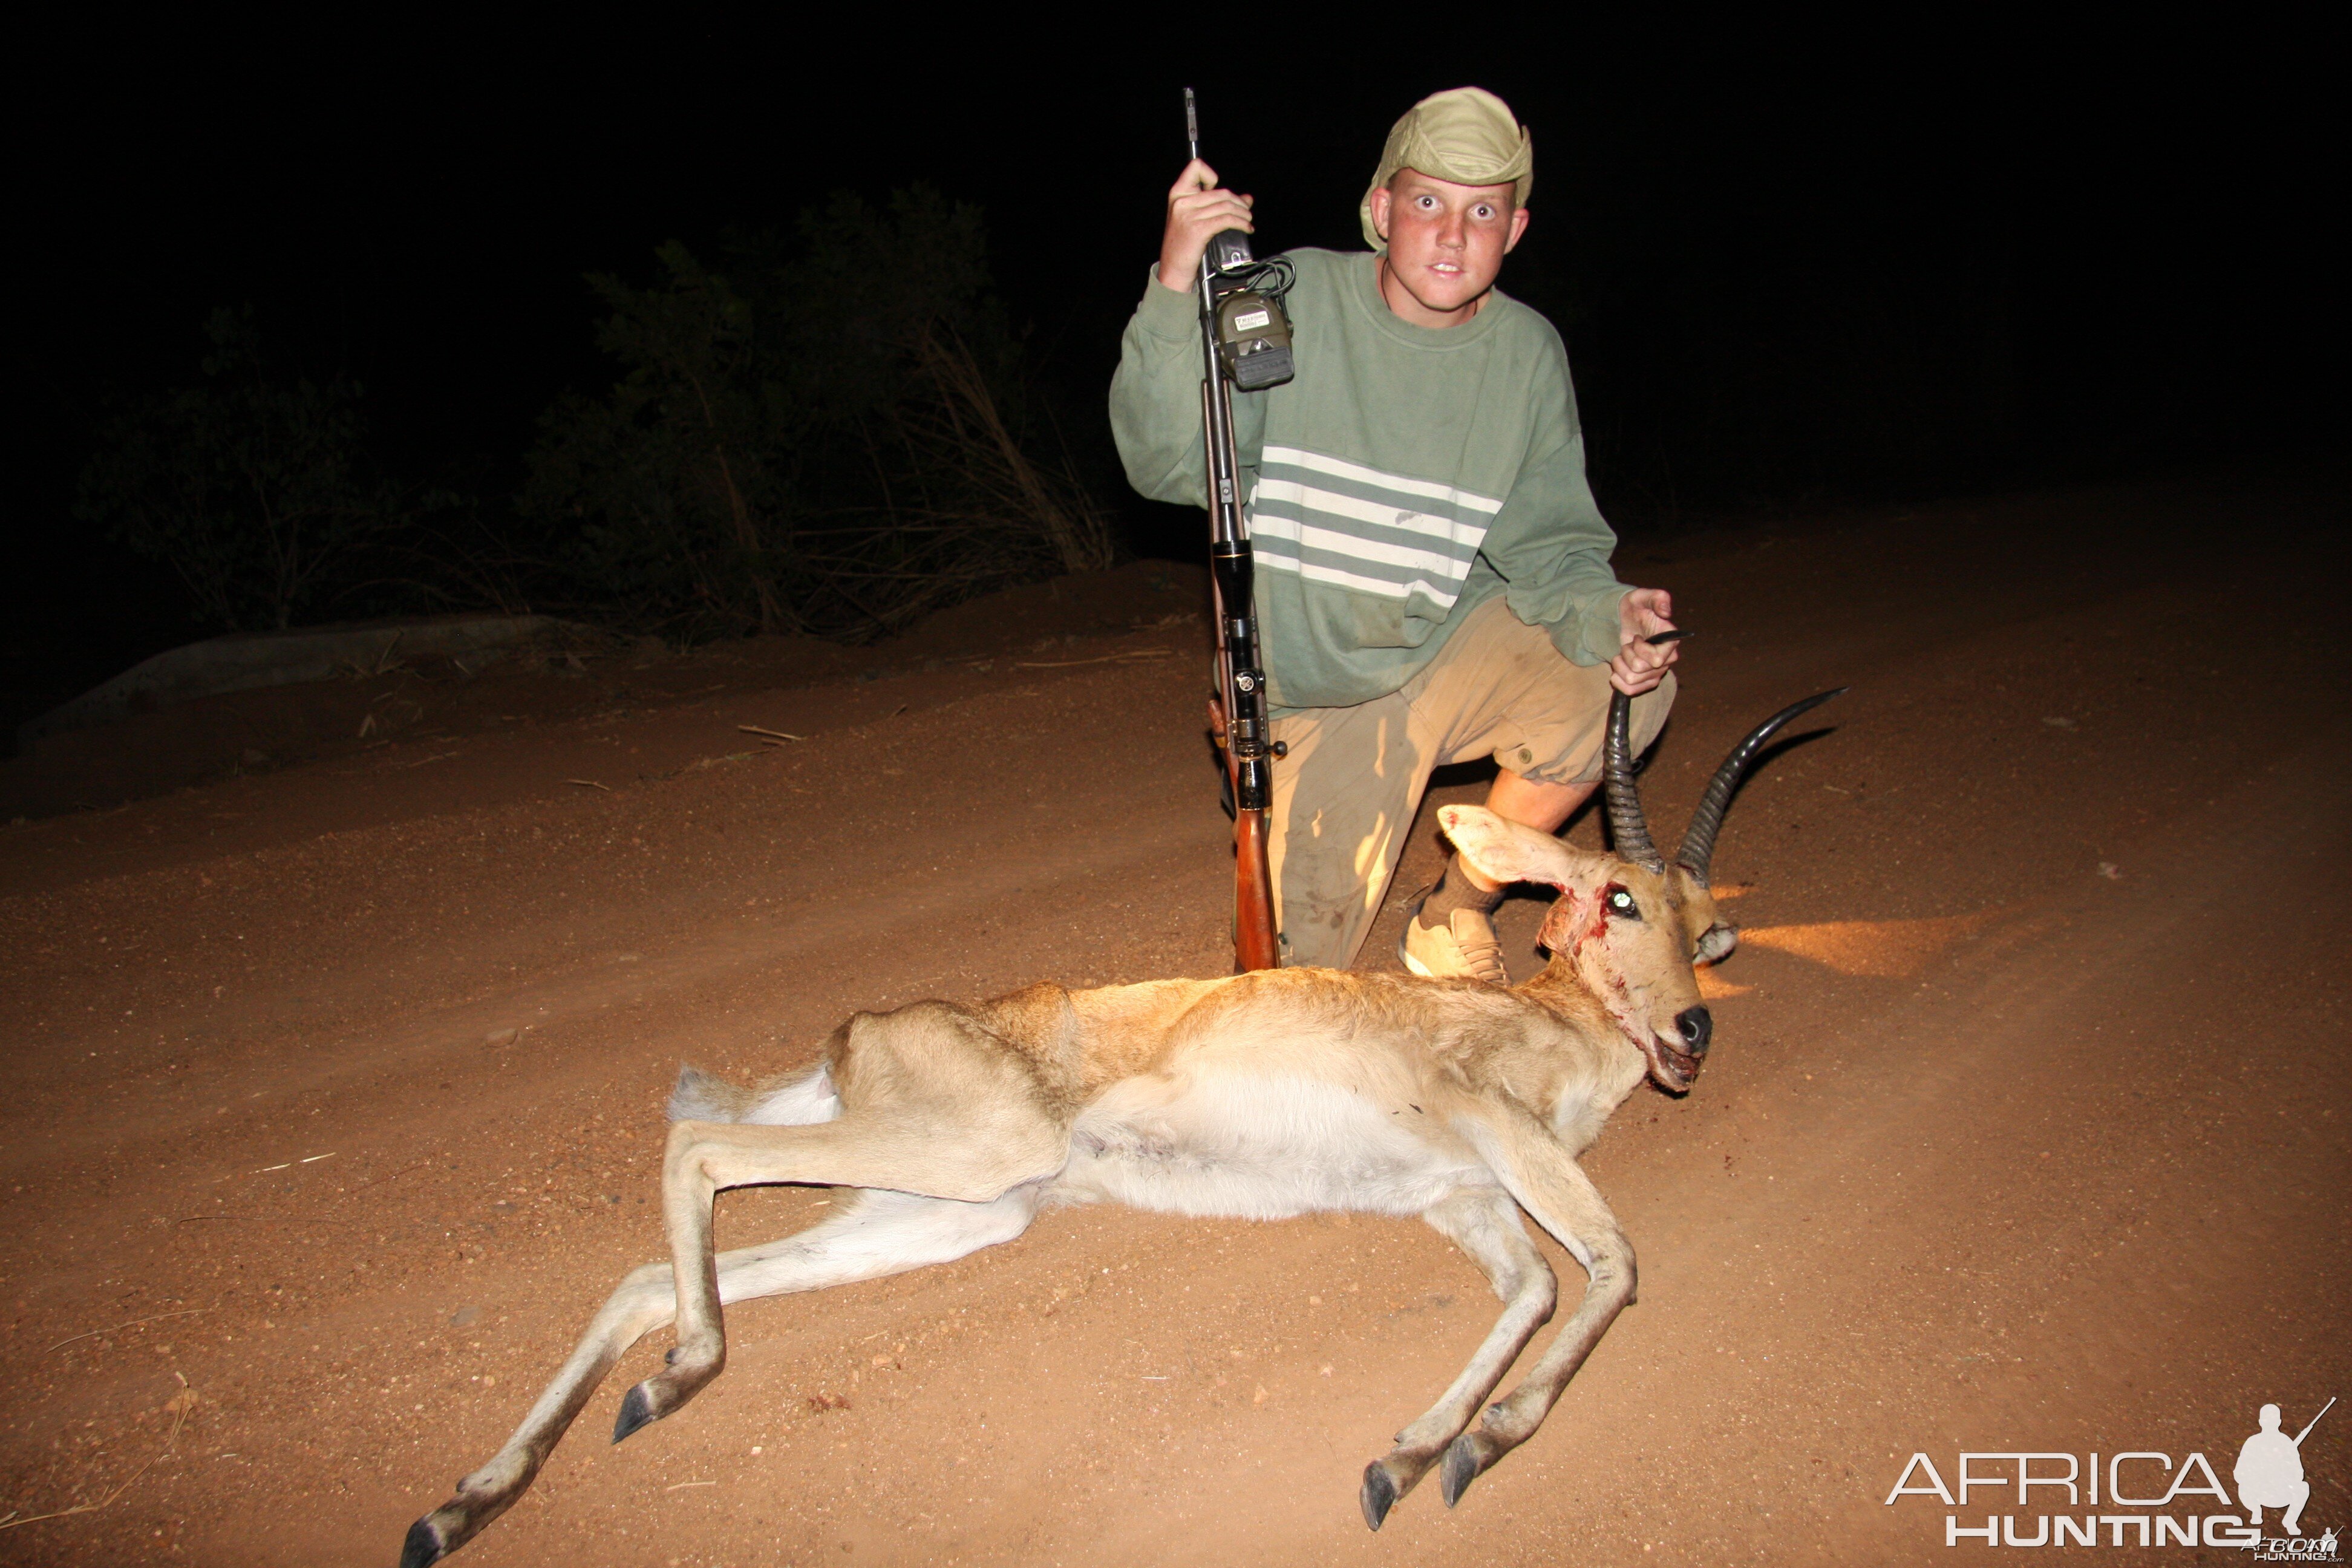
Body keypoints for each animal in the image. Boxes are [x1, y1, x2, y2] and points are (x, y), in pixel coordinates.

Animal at [399, 691, 1834, 1568]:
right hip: (975, 1160)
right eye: (1617, 900)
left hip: (942, 1216)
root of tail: (857, 1032)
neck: (1559, 1031)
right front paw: (1477, 1444)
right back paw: (666, 1384)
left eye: (1708, 924)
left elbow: (1534, 1285)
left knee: (647, 1273)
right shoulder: (1492, 1131)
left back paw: (474, 1499)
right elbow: (1611, 1266)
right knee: (696, 1155)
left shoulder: (1457, 1194)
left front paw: (1410, 1456)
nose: (1693, 1031)